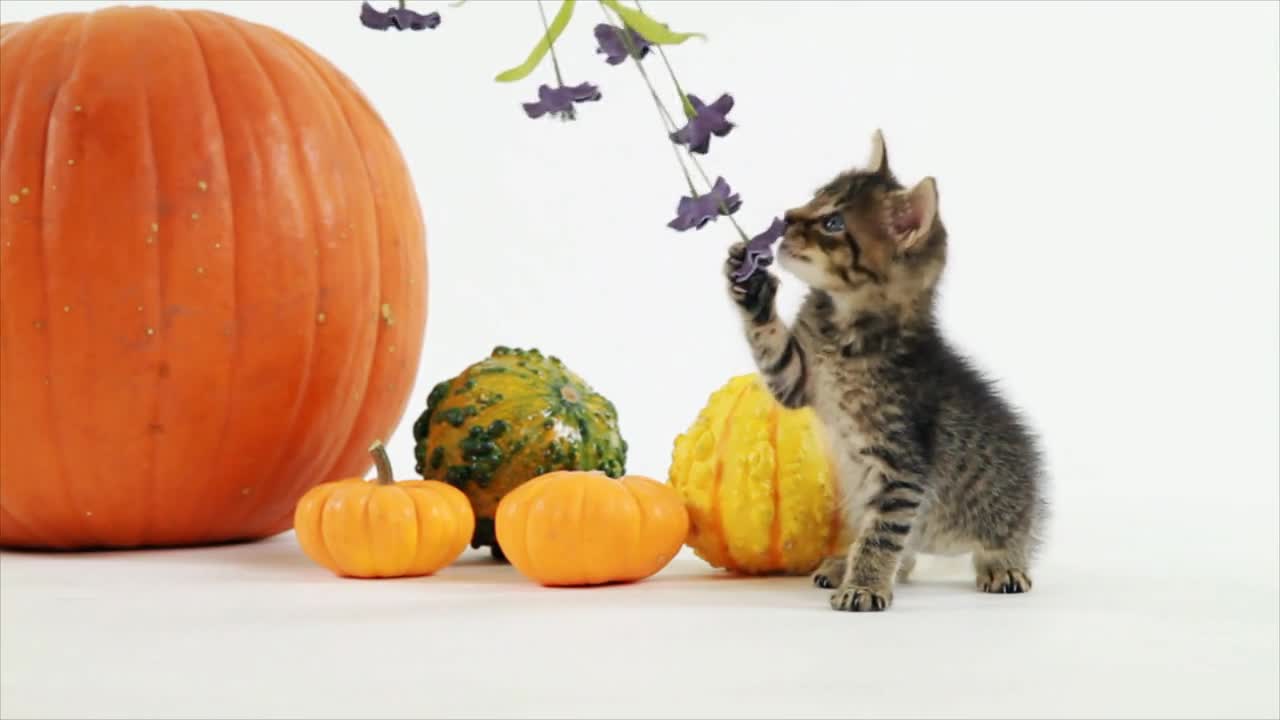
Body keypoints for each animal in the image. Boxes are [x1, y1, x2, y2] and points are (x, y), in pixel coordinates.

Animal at [727, 130, 1044, 609]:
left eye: (833, 223)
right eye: (814, 197)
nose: (787, 217)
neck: (842, 332)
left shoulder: (901, 468)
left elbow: (881, 534)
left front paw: (864, 585)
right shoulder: (797, 379)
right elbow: (772, 346)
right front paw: (750, 286)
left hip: (1003, 509)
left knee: (999, 538)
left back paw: (1002, 565)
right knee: (904, 548)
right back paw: (845, 563)